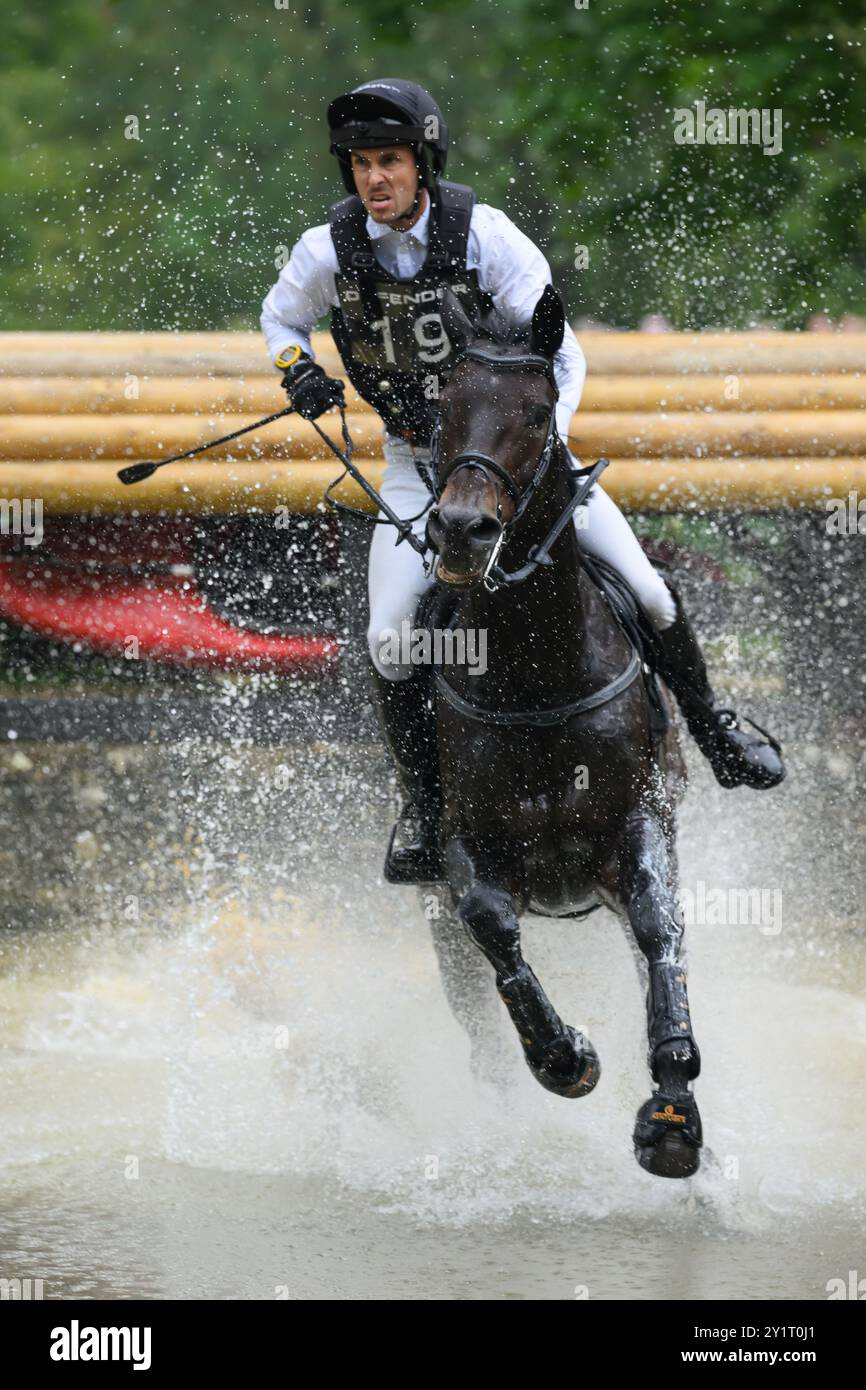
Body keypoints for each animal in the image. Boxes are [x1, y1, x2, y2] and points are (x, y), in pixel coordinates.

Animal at [422, 287, 706, 1178]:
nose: (461, 531)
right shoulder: (464, 846)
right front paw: (565, 1057)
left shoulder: (639, 821)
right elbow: (492, 922)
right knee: (476, 1013)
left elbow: (657, 927)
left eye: (539, 410)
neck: (536, 666)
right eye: (444, 406)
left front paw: (673, 1112)